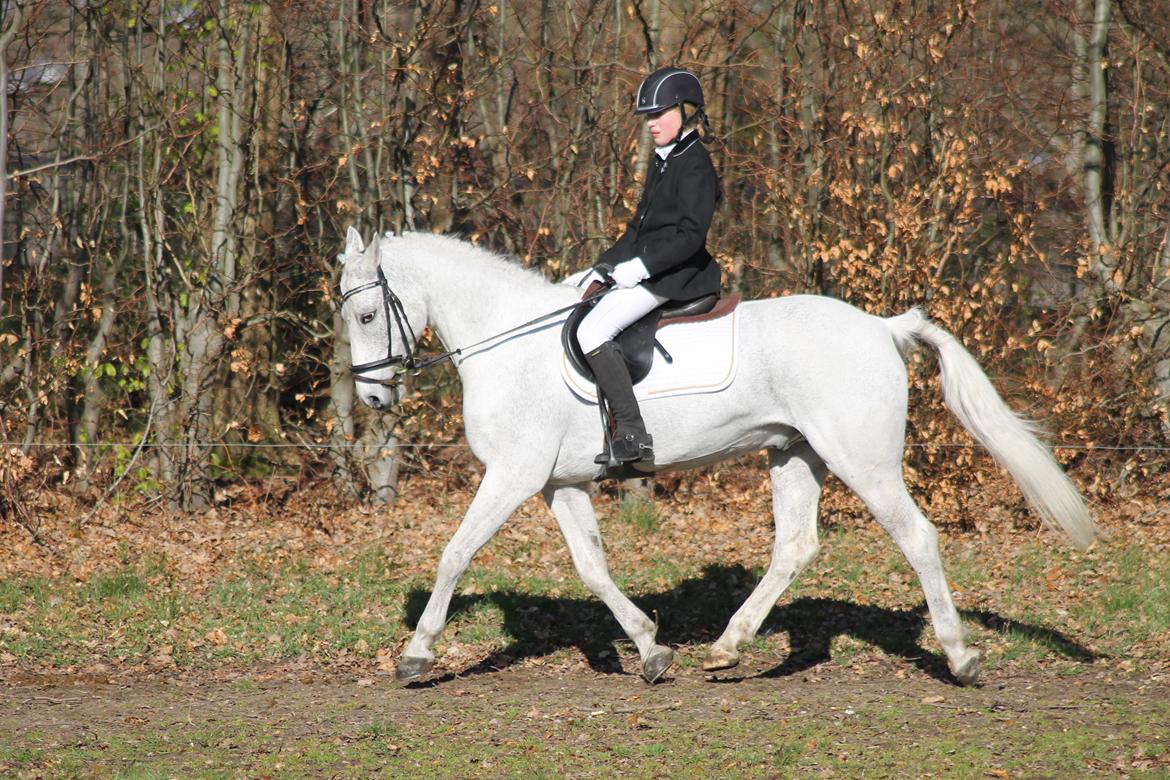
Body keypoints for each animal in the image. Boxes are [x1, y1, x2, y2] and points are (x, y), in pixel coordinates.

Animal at [336, 229, 1095, 687]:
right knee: (795, 546)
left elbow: (454, 553)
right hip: (794, 455)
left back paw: (960, 656)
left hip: (864, 463)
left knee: (918, 538)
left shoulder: (513, 476)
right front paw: (651, 648)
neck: (507, 342)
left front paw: (416, 654)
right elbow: (592, 567)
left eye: (368, 316)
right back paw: (729, 647)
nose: (371, 396)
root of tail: (882, 328)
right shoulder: (560, 485)